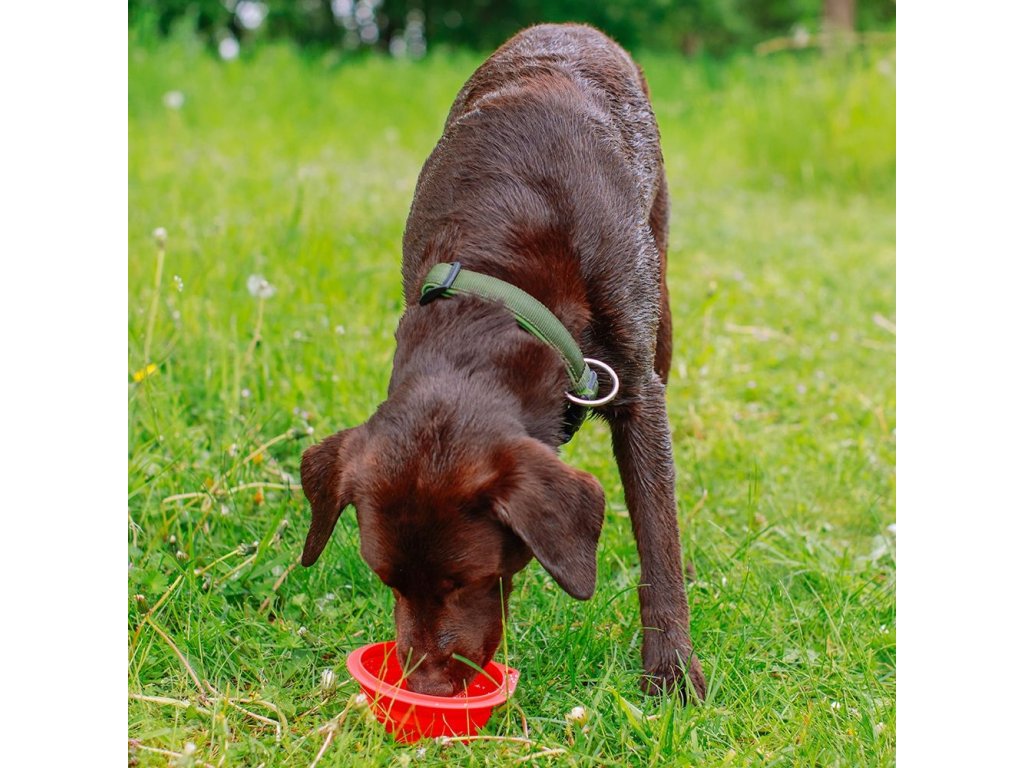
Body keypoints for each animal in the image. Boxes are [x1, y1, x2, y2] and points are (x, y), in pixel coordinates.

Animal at [300, 23, 706, 700]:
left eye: (466, 580)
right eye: (388, 581)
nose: (426, 690)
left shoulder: (637, 391)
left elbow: (657, 536)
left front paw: (671, 666)